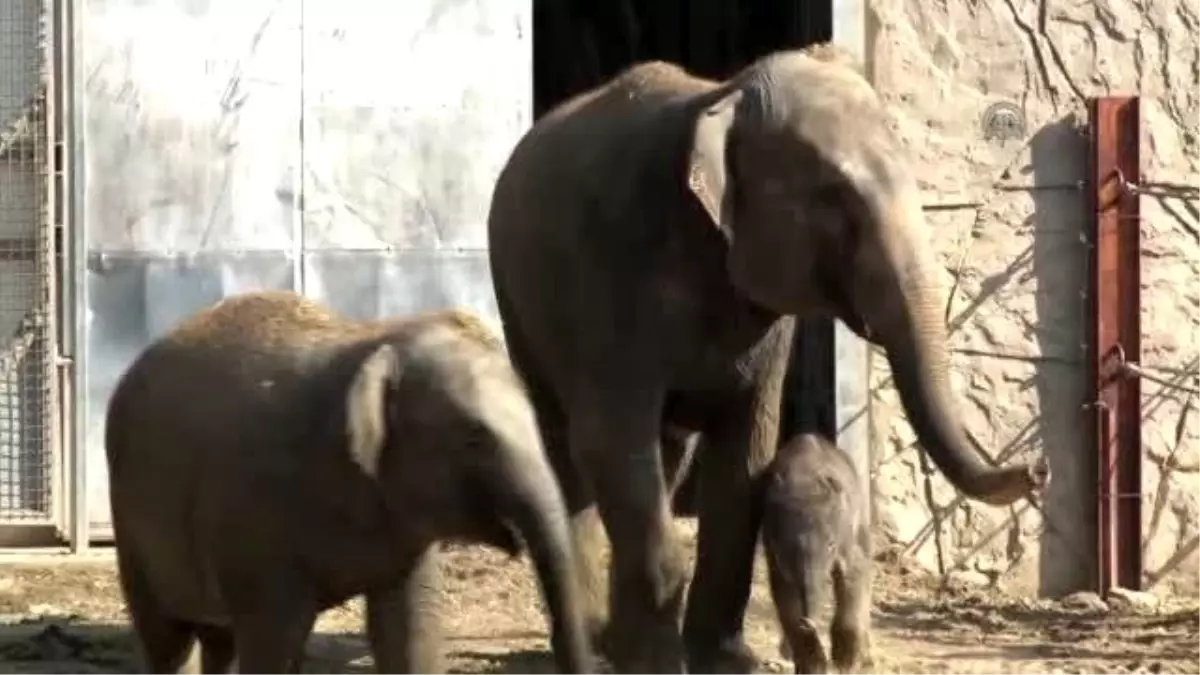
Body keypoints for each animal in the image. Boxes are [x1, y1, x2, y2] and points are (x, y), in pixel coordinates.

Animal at [105, 291, 592, 672]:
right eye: (476, 436)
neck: (374, 340)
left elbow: (409, 626)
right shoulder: (254, 515)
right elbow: (275, 638)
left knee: (217, 639)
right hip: (131, 524)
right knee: (168, 638)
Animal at [768, 429, 873, 672]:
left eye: (830, 545)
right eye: (784, 548)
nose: (807, 622)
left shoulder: (846, 532)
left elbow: (853, 574)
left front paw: (844, 662)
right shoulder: (771, 546)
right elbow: (783, 593)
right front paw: (814, 667)